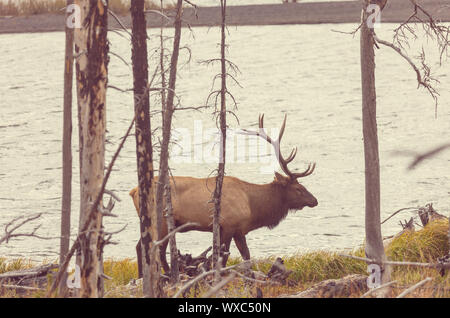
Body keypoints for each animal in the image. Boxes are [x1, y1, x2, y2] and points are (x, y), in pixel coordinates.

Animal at [128, 114, 318, 276]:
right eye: (298, 188)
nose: (315, 200)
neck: (253, 206)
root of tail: (134, 191)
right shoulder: (228, 225)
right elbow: (223, 257)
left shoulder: (239, 230)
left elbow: (246, 255)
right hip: (162, 220)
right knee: (157, 250)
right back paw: (168, 274)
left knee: (140, 246)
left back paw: (141, 276)